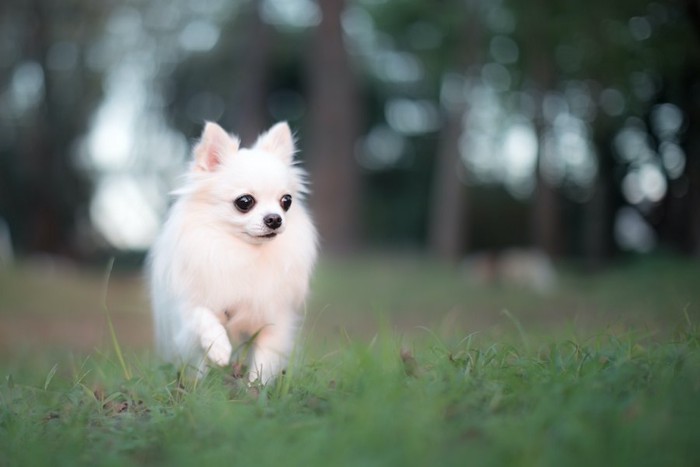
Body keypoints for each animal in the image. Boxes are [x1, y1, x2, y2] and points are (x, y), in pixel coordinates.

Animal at [150, 120, 320, 384]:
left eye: (286, 201)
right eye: (244, 202)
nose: (275, 219)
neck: (242, 253)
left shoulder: (273, 320)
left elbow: (263, 362)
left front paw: (255, 388)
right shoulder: (189, 304)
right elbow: (202, 316)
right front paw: (218, 347)